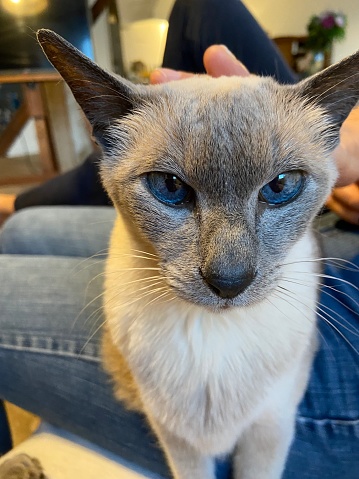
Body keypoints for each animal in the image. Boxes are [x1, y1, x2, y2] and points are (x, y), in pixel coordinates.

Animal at [26, 31, 359, 479]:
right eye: (169, 187)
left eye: (280, 186)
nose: (229, 281)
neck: (212, 342)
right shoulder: (178, 440)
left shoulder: (269, 432)